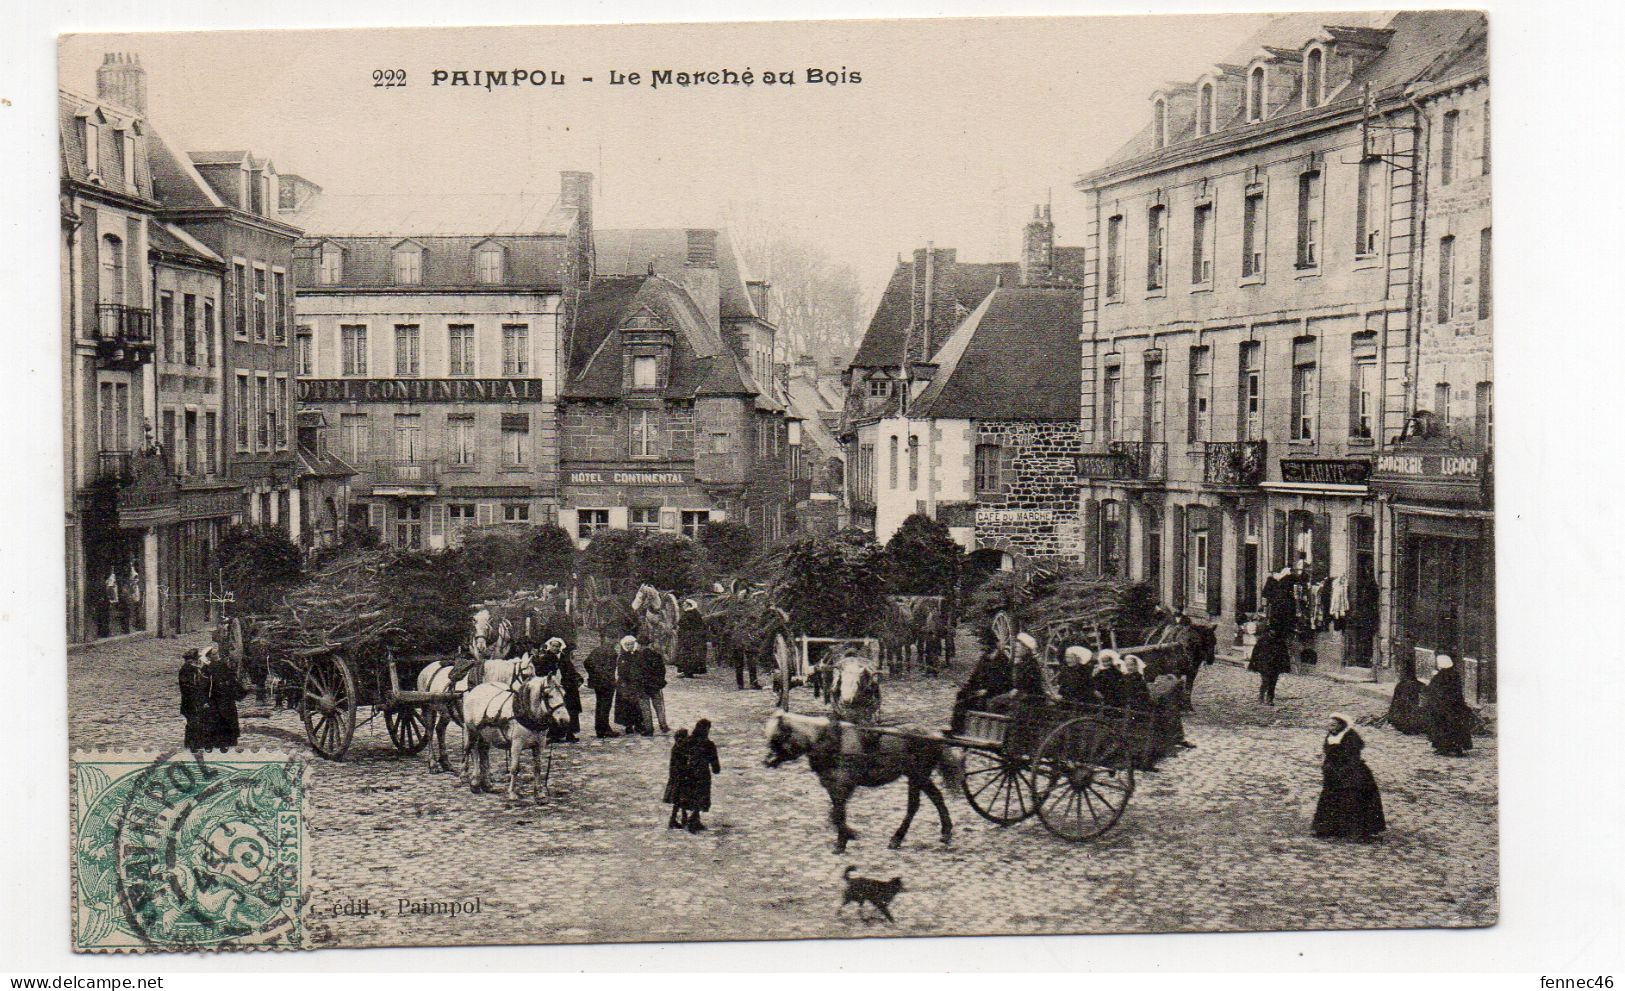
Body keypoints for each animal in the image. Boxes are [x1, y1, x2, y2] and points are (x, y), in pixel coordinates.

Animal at [464, 666, 572, 799]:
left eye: (564, 694)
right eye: (549, 695)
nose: (565, 720)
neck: (528, 714)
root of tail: (475, 690)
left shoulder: (539, 745)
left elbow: (537, 768)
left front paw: (539, 793)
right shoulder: (516, 744)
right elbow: (515, 768)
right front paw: (512, 793)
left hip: (486, 735)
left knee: (483, 752)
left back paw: (487, 784)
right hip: (472, 731)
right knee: (474, 753)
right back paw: (475, 783)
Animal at [763, 708, 962, 851]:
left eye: (777, 738)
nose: (766, 762)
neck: (827, 739)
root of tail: (935, 735)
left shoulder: (843, 785)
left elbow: (838, 812)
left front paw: (842, 842)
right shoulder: (832, 785)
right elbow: (835, 812)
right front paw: (847, 835)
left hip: (917, 775)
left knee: (914, 805)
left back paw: (896, 839)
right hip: (919, 776)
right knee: (936, 797)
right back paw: (945, 833)